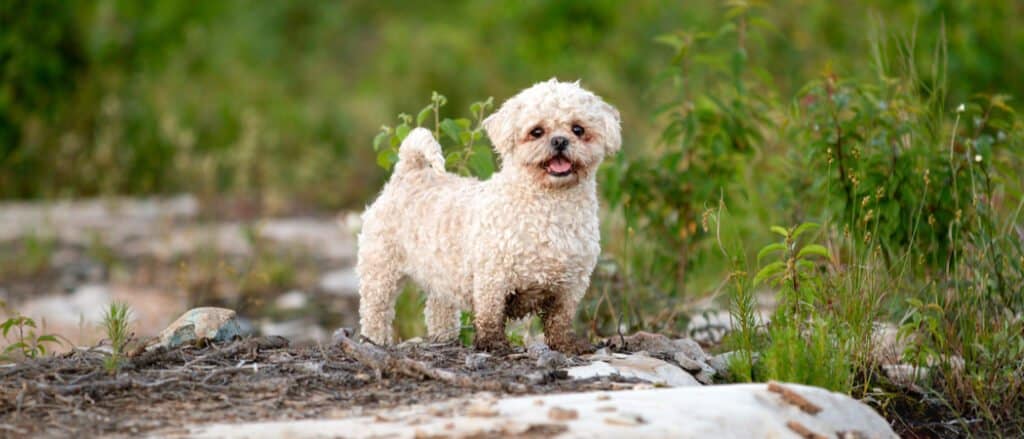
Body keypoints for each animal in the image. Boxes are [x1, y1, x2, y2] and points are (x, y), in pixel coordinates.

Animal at [356, 78, 618, 352]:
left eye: (578, 129)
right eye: (536, 131)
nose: (559, 141)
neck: (550, 207)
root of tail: (409, 171)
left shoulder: (572, 285)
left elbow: (560, 319)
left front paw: (566, 344)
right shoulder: (493, 277)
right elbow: (490, 315)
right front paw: (493, 344)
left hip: (439, 275)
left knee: (438, 309)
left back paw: (444, 339)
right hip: (380, 269)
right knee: (375, 311)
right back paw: (374, 340)